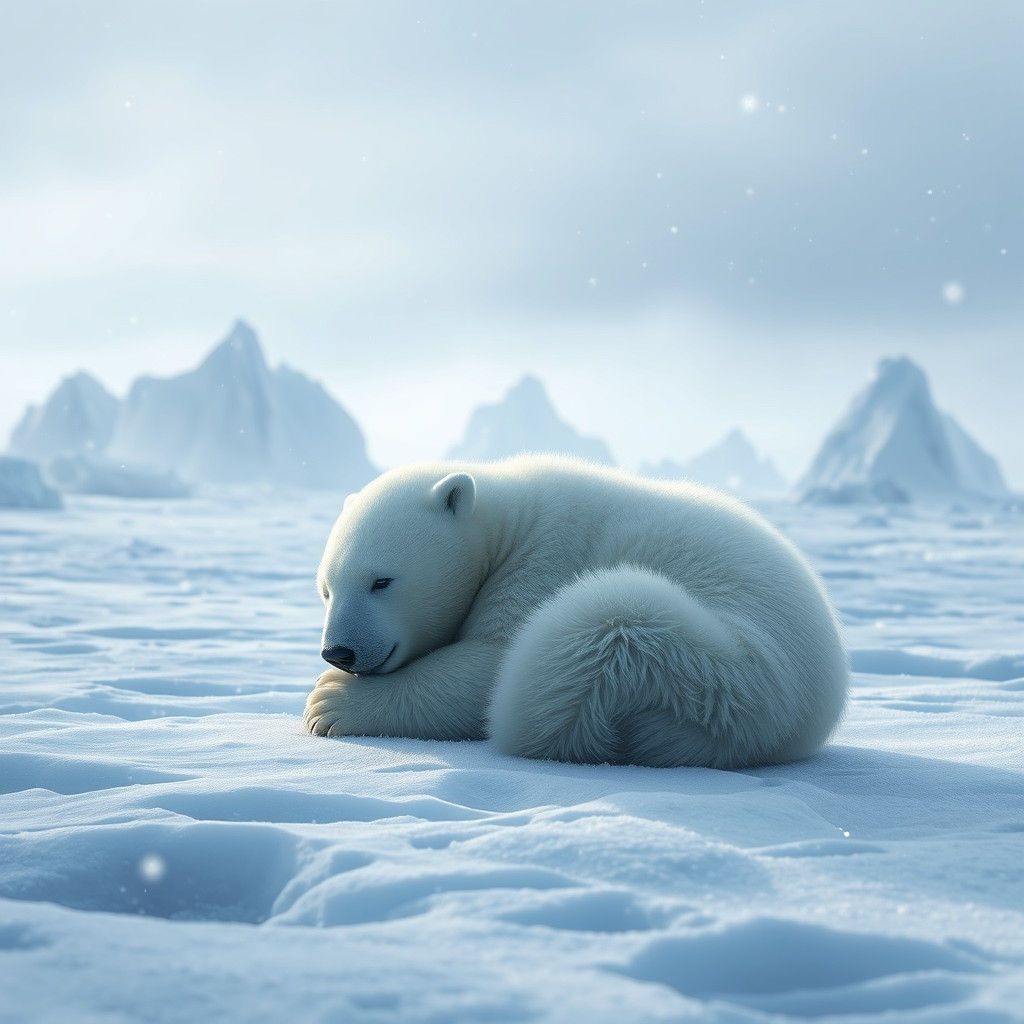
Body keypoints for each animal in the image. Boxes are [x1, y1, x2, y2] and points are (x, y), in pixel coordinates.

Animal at [304, 455, 848, 768]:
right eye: (326, 589)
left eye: (381, 581)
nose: (338, 653)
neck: (507, 521)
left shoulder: (543, 558)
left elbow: (491, 661)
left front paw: (329, 704)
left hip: (719, 674)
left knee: (598, 632)